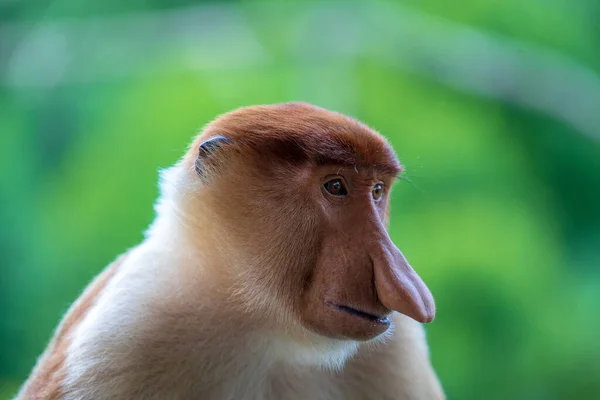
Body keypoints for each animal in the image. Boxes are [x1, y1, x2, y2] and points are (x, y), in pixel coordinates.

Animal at [16, 101, 442, 398]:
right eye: (335, 186)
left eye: (377, 191)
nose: (409, 289)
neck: (262, 326)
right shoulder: (123, 337)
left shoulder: (396, 348)